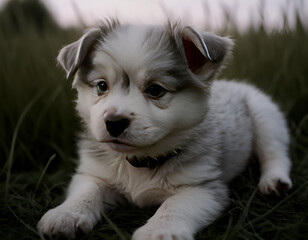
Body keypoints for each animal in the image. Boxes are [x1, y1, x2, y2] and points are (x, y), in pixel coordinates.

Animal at [37, 19, 292, 239]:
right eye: (102, 86)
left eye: (155, 90)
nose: (114, 122)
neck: (139, 162)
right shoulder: (94, 174)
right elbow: (86, 193)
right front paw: (66, 214)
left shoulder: (203, 187)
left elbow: (174, 205)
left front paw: (159, 231)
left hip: (266, 117)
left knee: (275, 154)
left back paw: (274, 181)